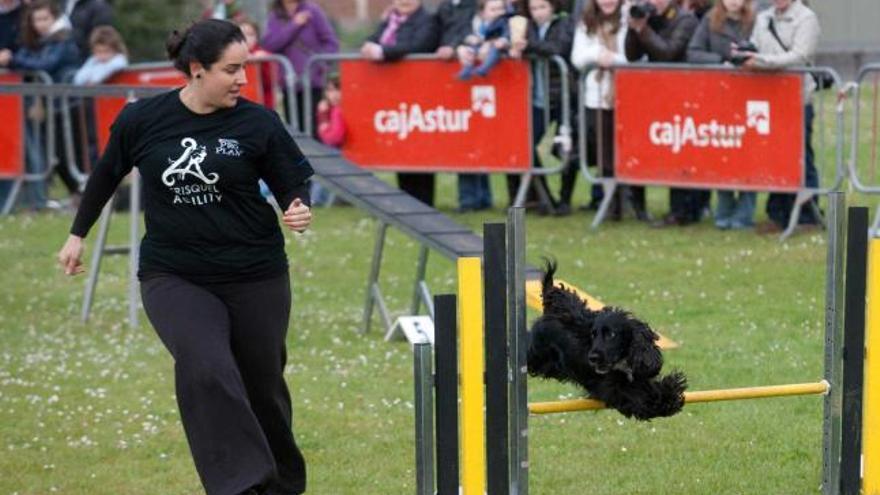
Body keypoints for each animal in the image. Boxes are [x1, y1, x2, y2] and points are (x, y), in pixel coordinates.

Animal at [524, 262, 684, 420]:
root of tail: (550, 313)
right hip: (538, 356)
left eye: (611, 334)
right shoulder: (610, 388)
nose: (592, 358)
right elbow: (635, 397)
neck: (622, 361)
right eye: (593, 335)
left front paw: (670, 391)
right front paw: (662, 403)